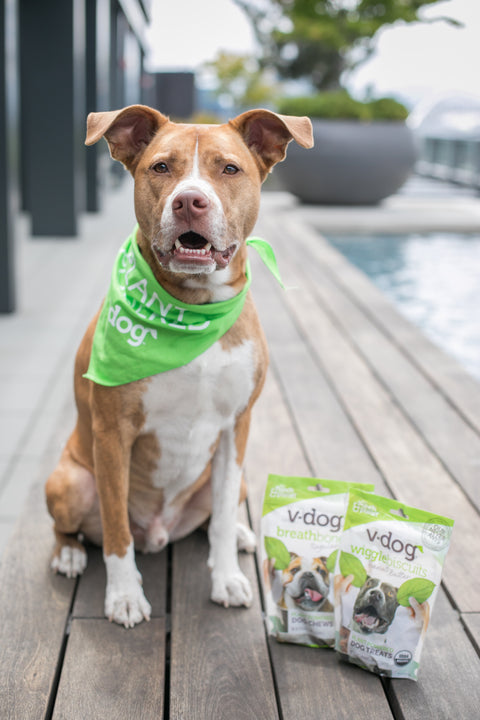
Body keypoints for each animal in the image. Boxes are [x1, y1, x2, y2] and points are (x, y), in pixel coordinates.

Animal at [45, 104, 313, 628]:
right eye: (161, 167)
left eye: (229, 168)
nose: (190, 201)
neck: (194, 309)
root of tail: (160, 531)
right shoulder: (113, 433)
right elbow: (116, 529)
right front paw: (124, 596)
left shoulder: (235, 427)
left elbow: (224, 517)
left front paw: (226, 577)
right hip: (67, 480)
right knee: (76, 527)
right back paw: (69, 554)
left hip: (238, 477)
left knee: (217, 514)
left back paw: (242, 537)